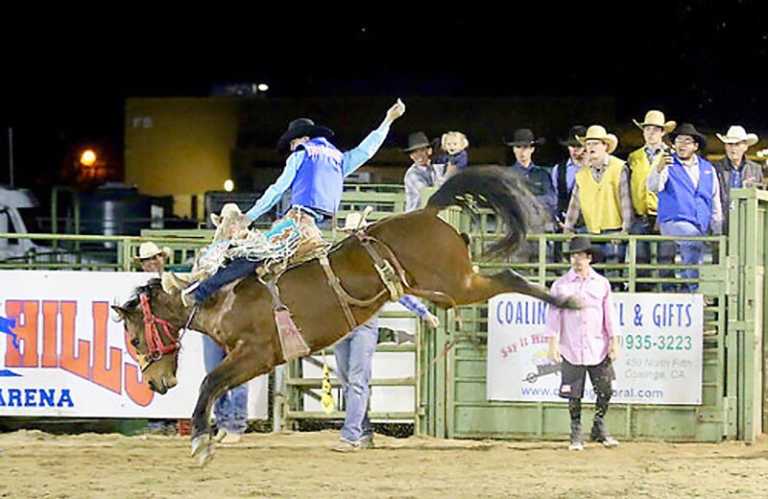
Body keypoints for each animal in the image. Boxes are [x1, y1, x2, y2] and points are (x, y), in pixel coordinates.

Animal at [111, 167, 572, 464]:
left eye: (134, 339)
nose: (155, 383)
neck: (219, 296)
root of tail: (425, 211)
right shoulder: (254, 360)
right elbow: (218, 387)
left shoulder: (257, 354)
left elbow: (209, 383)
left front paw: (201, 442)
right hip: (441, 291)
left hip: (458, 283)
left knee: (509, 276)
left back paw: (568, 304)